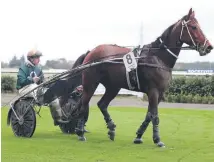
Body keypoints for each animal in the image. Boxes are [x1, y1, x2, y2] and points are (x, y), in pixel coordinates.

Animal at [71, 8, 213, 147]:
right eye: (194, 27)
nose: (209, 46)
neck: (158, 57)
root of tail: (91, 51)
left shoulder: (159, 93)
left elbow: (149, 115)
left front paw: (139, 136)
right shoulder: (153, 91)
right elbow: (154, 115)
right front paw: (157, 139)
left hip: (113, 86)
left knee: (102, 104)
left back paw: (110, 129)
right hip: (90, 84)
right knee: (83, 104)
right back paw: (80, 132)